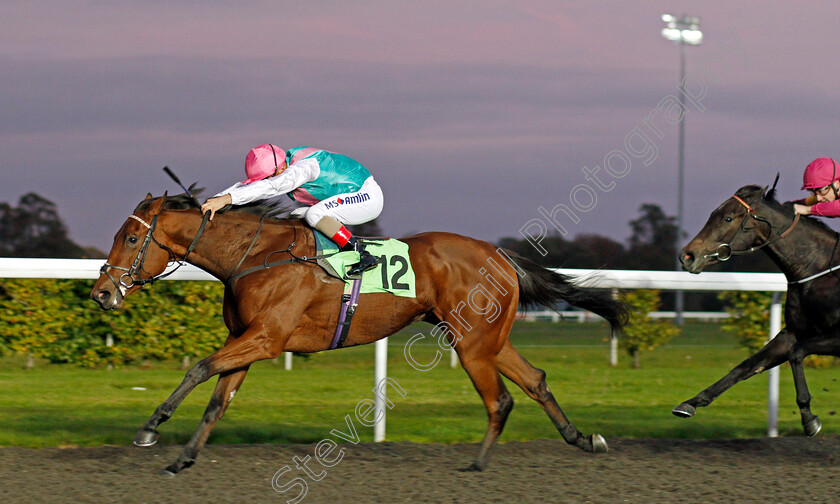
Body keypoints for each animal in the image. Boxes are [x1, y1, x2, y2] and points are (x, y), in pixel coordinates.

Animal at [92, 191, 632, 474]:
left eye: (133, 238)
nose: (101, 292)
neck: (254, 257)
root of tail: (500, 255)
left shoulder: (266, 338)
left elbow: (199, 370)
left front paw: (149, 429)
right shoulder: (246, 340)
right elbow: (217, 401)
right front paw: (183, 458)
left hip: (473, 342)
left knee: (500, 399)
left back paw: (477, 465)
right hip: (487, 338)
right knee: (535, 379)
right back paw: (584, 440)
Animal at [676, 184, 840, 438]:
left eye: (728, 218)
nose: (686, 256)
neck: (818, 269)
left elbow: (796, 353)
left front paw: (808, 418)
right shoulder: (793, 333)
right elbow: (747, 365)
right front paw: (691, 403)